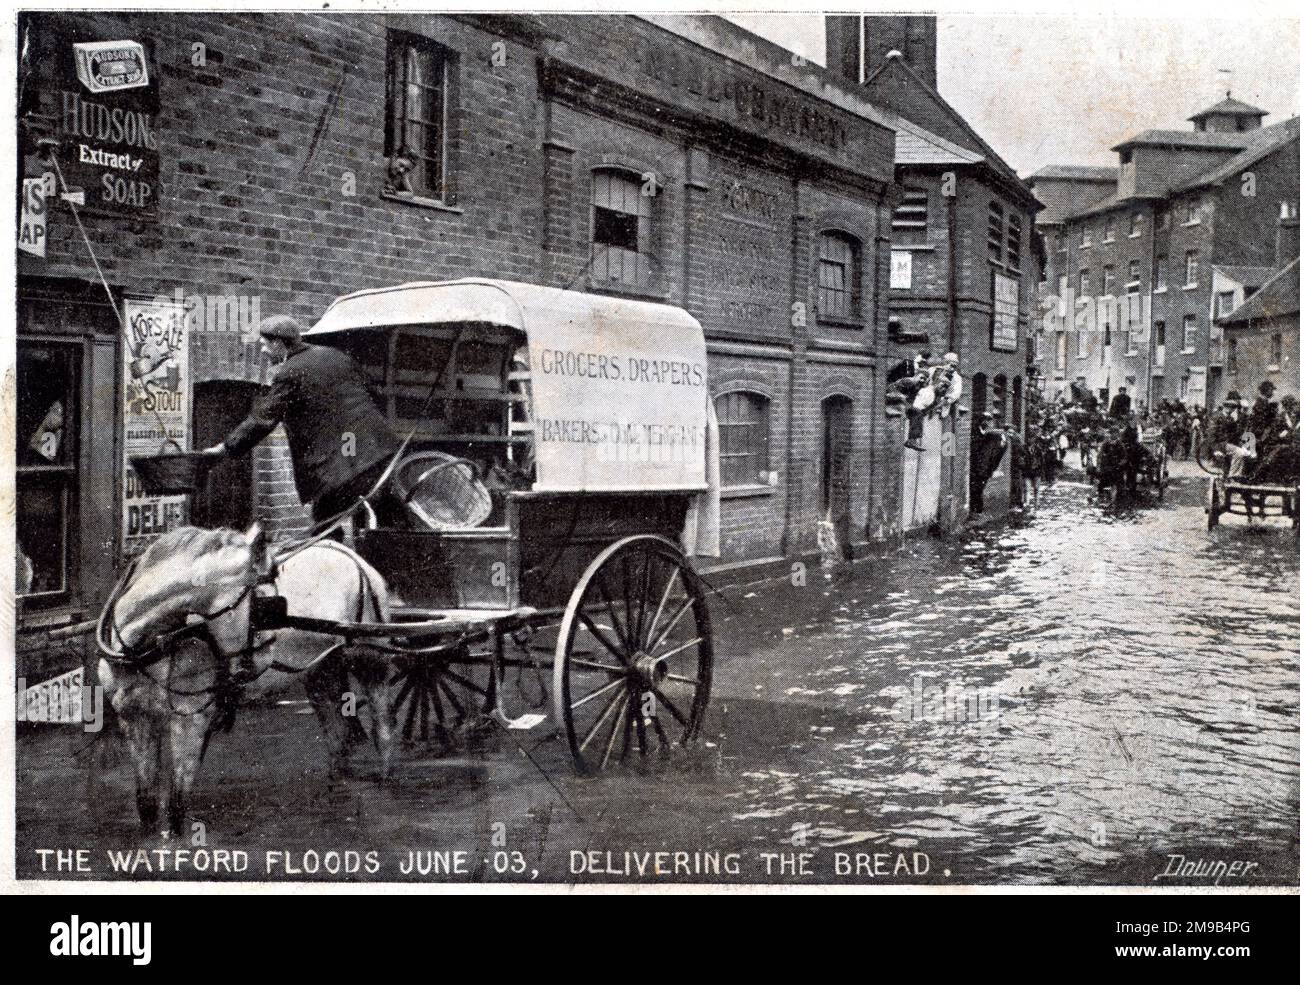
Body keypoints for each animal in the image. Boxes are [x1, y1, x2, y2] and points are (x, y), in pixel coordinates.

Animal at [97, 524, 395, 842]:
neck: (145, 644)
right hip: (322, 671)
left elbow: (176, 806)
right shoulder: (134, 717)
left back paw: (386, 781)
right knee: (337, 735)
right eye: (266, 607)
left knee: (383, 731)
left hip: (370, 662)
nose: (265, 656)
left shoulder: (189, 719)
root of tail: (355, 558)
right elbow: (146, 805)